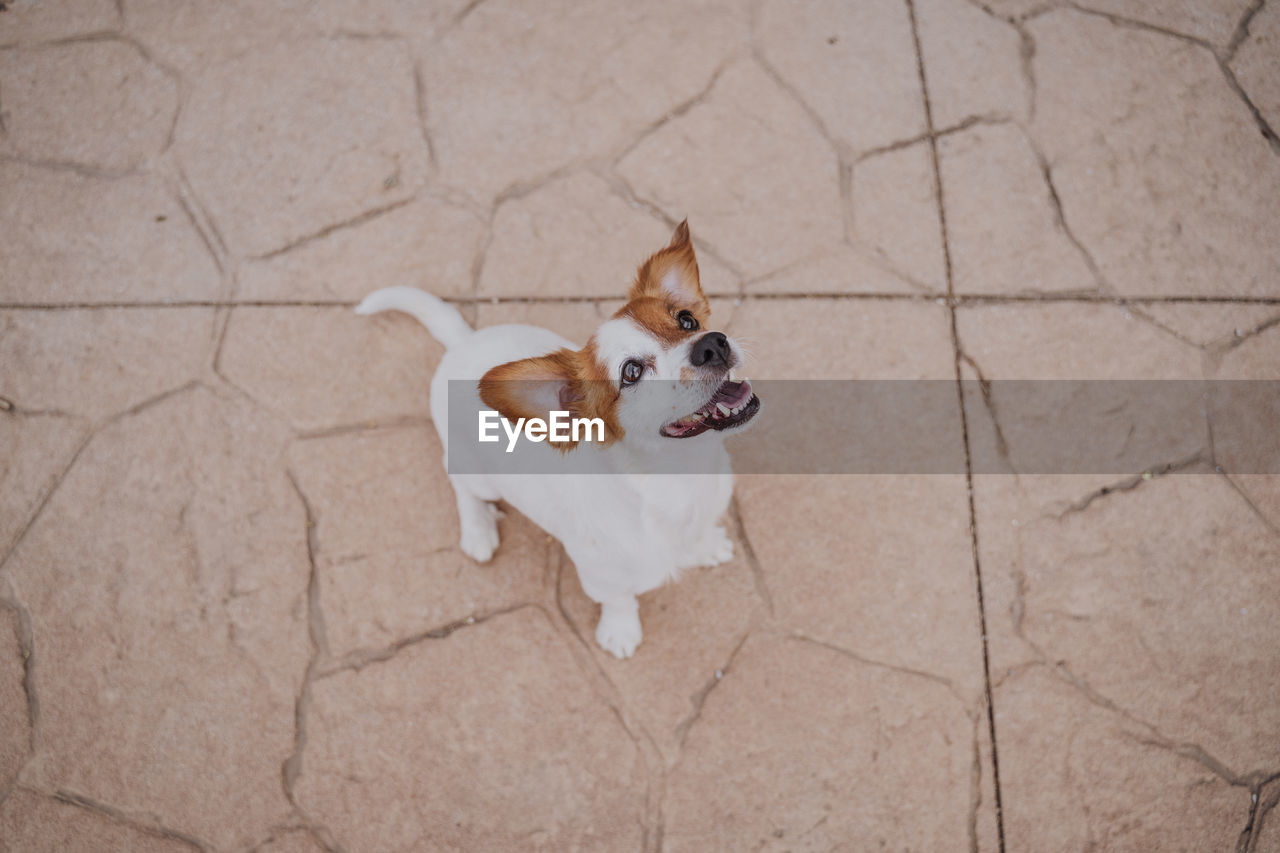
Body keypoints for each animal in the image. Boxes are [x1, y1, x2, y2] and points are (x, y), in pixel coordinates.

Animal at [355, 220, 757, 655]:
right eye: (631, 372)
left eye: (686, 320)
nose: (712, 343)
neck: (680, 480)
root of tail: (462, 342)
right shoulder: (602, 576)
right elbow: (620, 600)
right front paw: (621, 631)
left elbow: (699, 537)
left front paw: (707, 546)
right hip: (474, 472)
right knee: (462, 488)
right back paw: (478, 529)